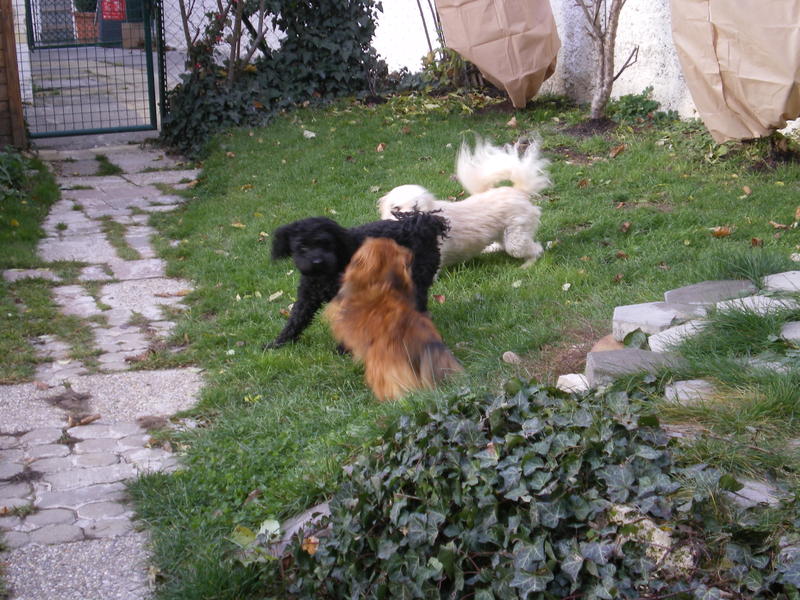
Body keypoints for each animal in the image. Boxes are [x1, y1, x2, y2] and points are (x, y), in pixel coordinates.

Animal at [266, 211, 448, 348]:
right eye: (302, 247)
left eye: (326, 243)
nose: (317, 261)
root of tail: (420, 223)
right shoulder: (307, 298)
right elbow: (295, 321)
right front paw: (278, 343)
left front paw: (344, 348)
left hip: (416, 280)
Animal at [377, 137, 550, 267]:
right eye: (396, 209)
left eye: (416, 208)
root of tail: (518, 191)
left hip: (516, 241)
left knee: (536, 249)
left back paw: (527, 265)